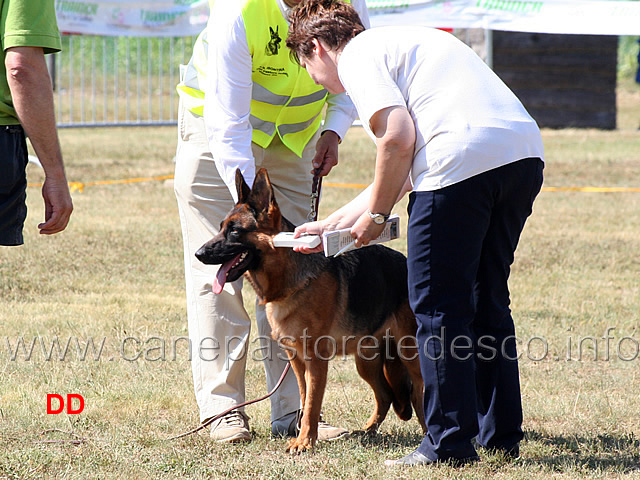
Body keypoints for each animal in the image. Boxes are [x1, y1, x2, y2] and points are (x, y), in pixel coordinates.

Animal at [195, 169, 424, 454]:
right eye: (220, 228)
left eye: (235, 231)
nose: (198, 253)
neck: (291, 281)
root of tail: (406, 264)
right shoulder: (297, 360)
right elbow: (305, 400)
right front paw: (305, 437)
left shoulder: (315, 360)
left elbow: (313, 403)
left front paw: (304, 442)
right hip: (366, 363)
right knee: (385, 396)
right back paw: (368, 431)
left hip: (410, 355)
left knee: (418, 393)